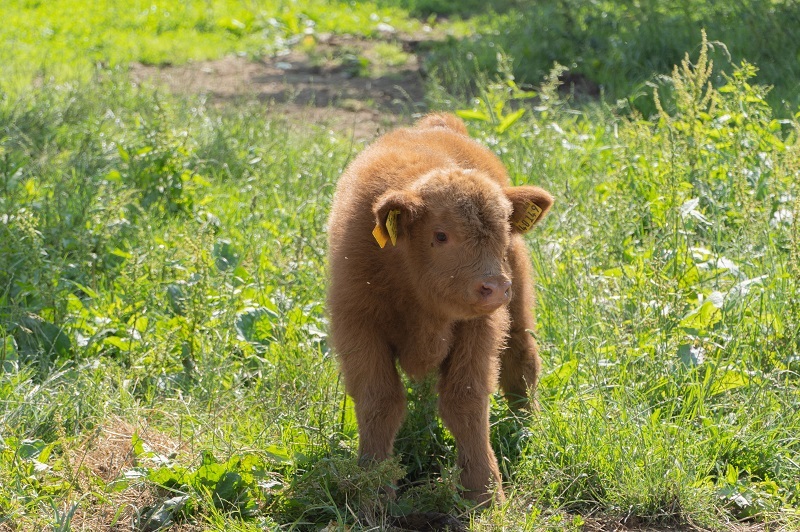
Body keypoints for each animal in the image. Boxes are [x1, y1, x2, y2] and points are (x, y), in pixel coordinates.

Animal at [324, 112, 552, 502]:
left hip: (519, 300)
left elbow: (465, 401)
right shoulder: (358, 327)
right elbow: (379, 401)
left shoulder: (478, 329)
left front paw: (483, 491)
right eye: (441, 235)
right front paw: (373, 489)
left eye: (504, 232)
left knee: (521, 361)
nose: (495, 287)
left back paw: (526, 427)